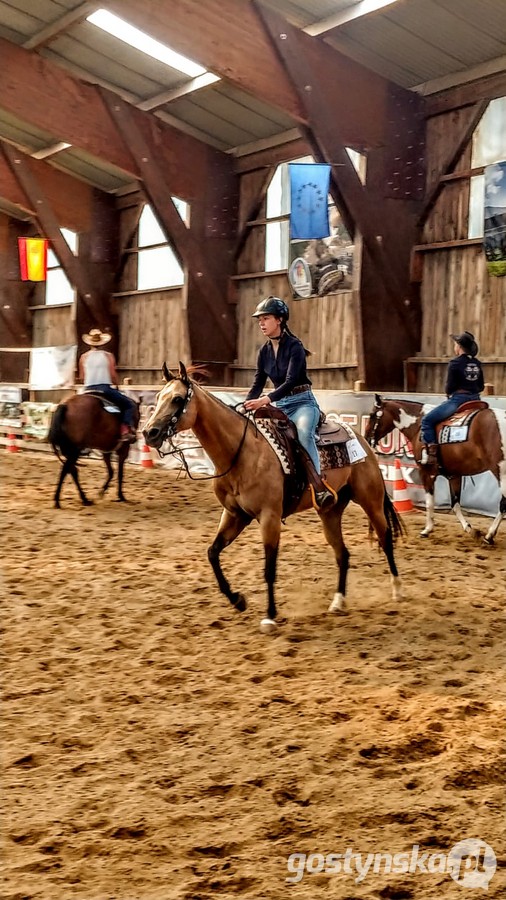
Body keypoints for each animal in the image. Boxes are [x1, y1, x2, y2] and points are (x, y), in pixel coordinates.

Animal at [143, 364, 404, 632]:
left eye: (177, 399)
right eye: (158, 397)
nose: (149, 432)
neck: (241, 453)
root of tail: (362, 440)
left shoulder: (269, 516)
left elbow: (269, 567)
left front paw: (269, 616)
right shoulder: (235, 515)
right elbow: (212, 553)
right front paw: (238, 600)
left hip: (371, 501)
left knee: (386, 539)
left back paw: (396, 590)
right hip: (330, 512)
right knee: (343, 554)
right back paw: (338, 602)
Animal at [366, 392, 504, 540]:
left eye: (372, 415)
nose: (366, 438)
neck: (418, 425)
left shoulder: (426, 472)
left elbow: (429, 502)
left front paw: (427, 529)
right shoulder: (454, 475)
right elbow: (455, 504)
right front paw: (469, 529)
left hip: (500, 471)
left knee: (504, 503)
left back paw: (490, 535)